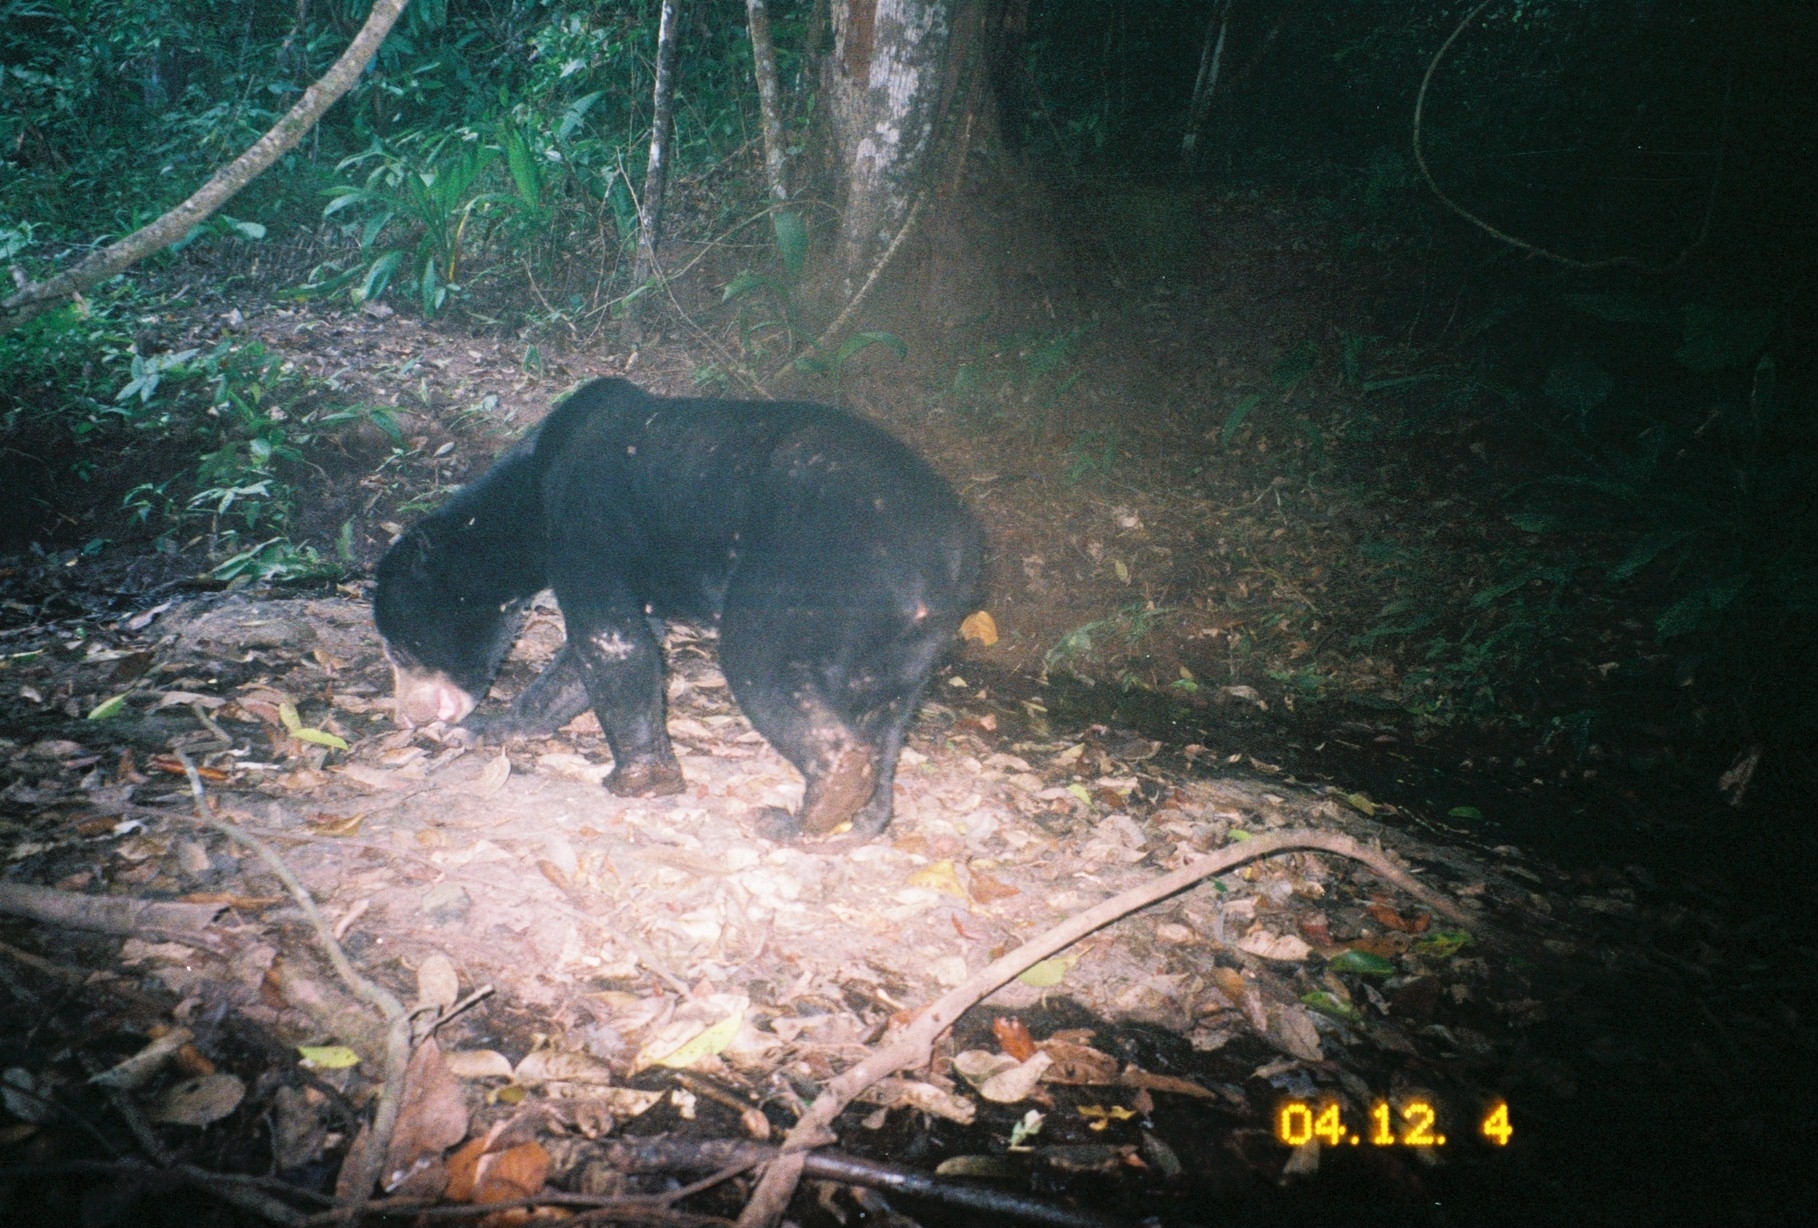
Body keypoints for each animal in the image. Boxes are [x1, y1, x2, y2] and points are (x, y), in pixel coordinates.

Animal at [370, 380, 988, 844]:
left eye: (400, 647)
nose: (408, 718)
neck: (526, 494)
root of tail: (954, 551)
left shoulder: (585, 519)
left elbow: (608, 640)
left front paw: (639, 779)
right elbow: (597, 655)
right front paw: (484, 728)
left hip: (820, 567)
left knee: (761, 661)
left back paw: (809, 809)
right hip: (906, 643)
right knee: (885, 717)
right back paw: (860, 822)